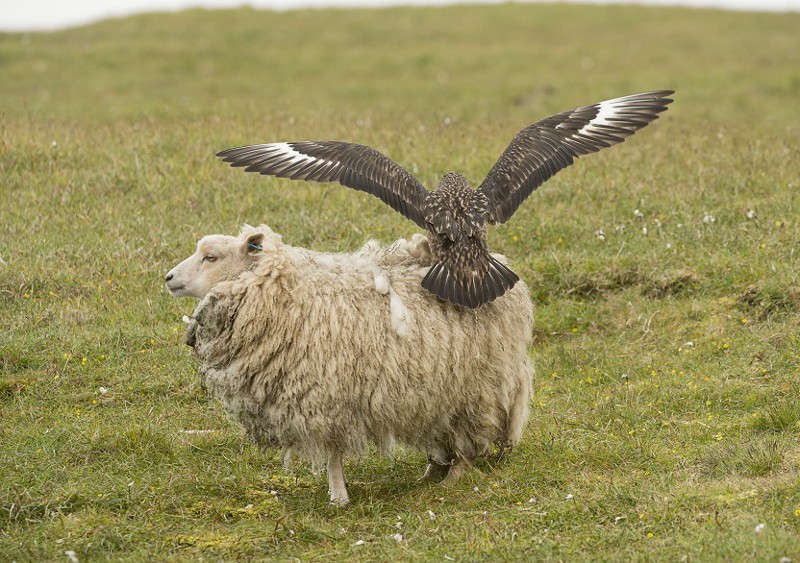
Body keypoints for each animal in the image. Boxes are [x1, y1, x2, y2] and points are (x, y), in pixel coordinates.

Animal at [166, 224, 536, 506]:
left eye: (211, 257)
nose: (168, 277)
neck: (287, 292)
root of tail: (497, 267)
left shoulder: (327, 396)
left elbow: (332, 454)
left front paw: (338, 497)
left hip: (477, 388)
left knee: (467, 438)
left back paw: (453, 475)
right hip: (438, 390)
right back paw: (431, 472)